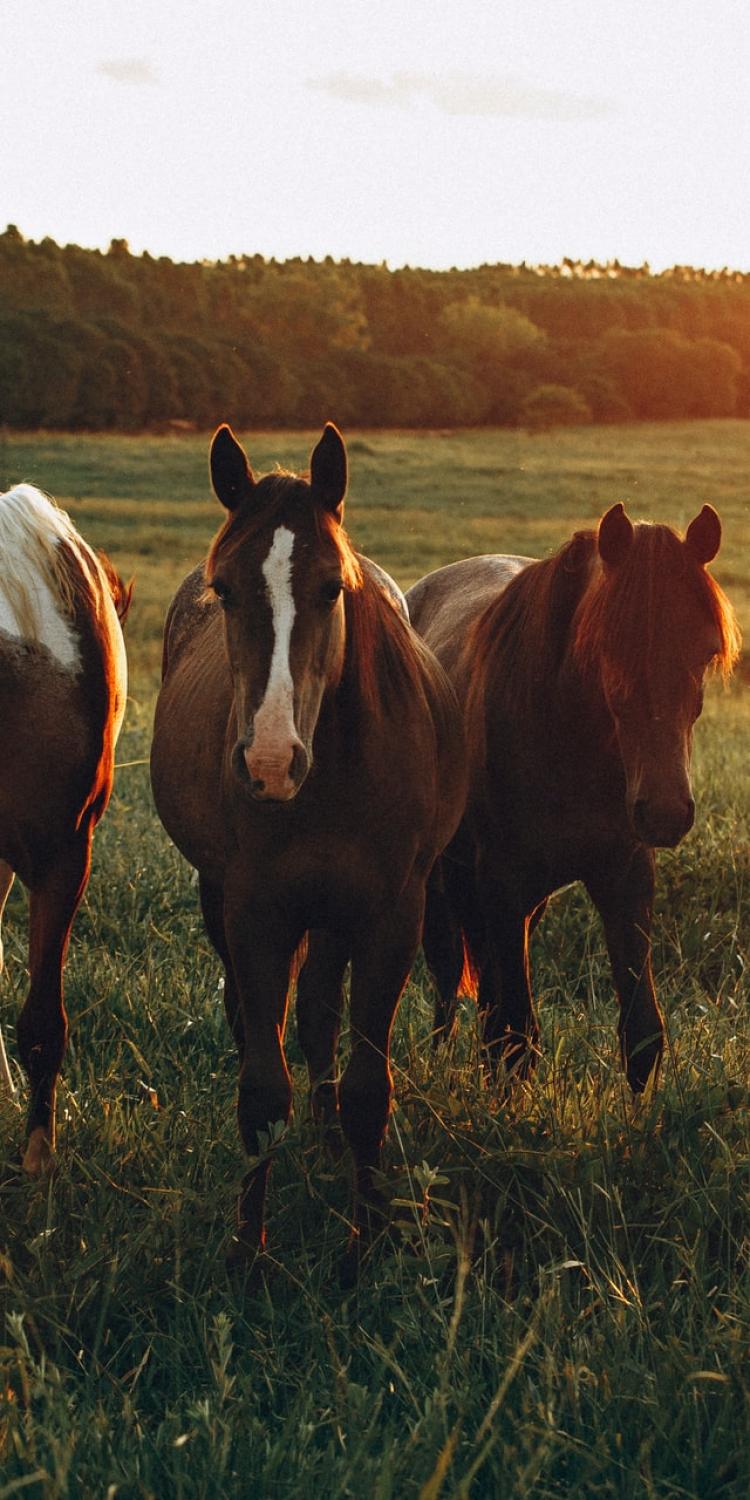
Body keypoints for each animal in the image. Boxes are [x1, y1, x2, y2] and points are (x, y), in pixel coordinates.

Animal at [149, 429, 465, 1272]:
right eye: (225, 590)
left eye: (331, 588)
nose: (268, 761)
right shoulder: (257, 912)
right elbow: (262, 1090)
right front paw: (246, 1252)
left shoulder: (391, 917)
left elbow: (366, 1087)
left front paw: (367, 1241)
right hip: (227, 899)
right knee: (257, 1015)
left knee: (322, 1007)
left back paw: (326, 1140)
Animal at [408, 501, 741, 1092]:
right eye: (609, 646)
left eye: (705, 652)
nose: (665, 812)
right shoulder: (502, 878)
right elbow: (516, 1035)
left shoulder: (624, 875)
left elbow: (642, 1033)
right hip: (448, 880)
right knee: (449, 976)